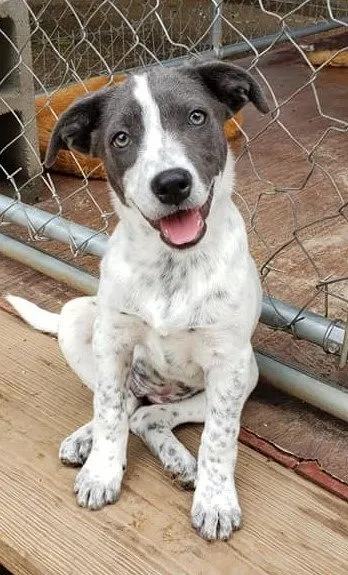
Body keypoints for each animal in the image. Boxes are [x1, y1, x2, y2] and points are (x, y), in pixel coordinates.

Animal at [7, 60, 270, 544]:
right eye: (121, 138)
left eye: (197, 117)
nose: (171, 183)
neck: (172, 264)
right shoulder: (112, 340)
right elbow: (109, 409)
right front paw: (102, 471)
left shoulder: (229, 363)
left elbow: (219, 438)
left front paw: (215, 501)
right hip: (79, 317)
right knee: (126, 404)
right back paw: (86, 440)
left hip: (247, 373)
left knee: (149, 417)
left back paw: (182, 463)